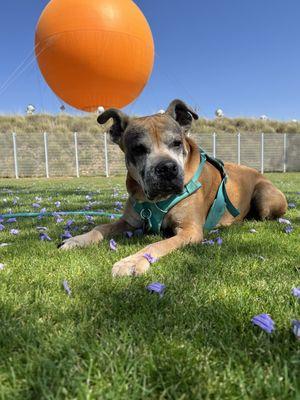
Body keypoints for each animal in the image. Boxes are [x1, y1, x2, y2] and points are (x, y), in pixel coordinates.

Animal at [58, 98, 286, 276]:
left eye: (177, 143)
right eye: (138, 149)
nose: (166, 168)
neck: (155, 201)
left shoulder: (189, 231)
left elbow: (157, 244)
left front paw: (132, 261)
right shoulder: (129, 222)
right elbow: (101, 227)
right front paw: (78, 239)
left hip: (264, 198)